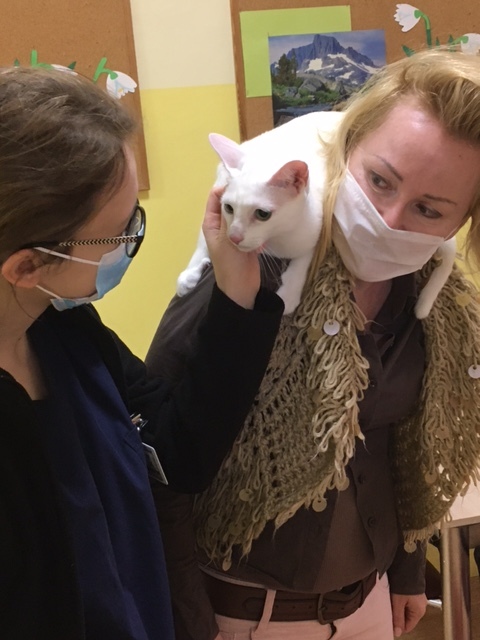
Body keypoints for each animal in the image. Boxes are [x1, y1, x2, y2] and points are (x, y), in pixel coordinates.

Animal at [176, 111, 456, 318]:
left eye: (263, 214)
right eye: (229, 208)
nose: (234, 237)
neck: (277, 239)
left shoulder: (315, 229)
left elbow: (303, 259)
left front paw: (288, 294)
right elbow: (203, 240)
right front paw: (189, 275)